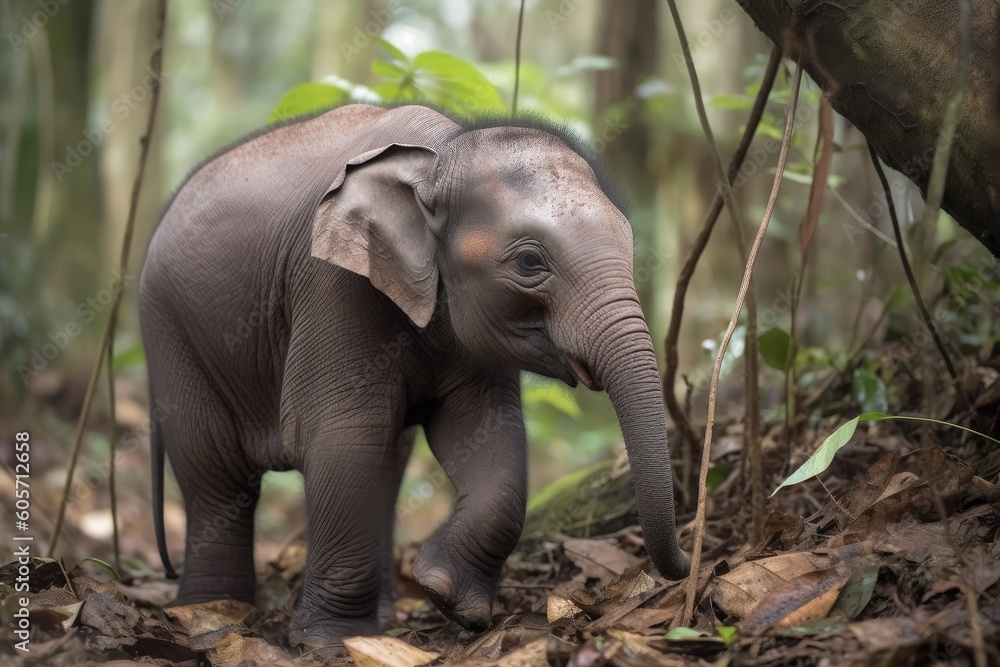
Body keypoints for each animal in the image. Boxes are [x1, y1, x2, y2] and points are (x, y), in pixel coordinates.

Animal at [141, 104, 688, 652]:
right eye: (530, 261)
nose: (683, 563)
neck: (438, 156)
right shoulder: (334, 285)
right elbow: (346, 440)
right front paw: (329, 643)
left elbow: (491, 436)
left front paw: (446, 598)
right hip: (172, 332)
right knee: (215, 469)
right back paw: (213, 615)